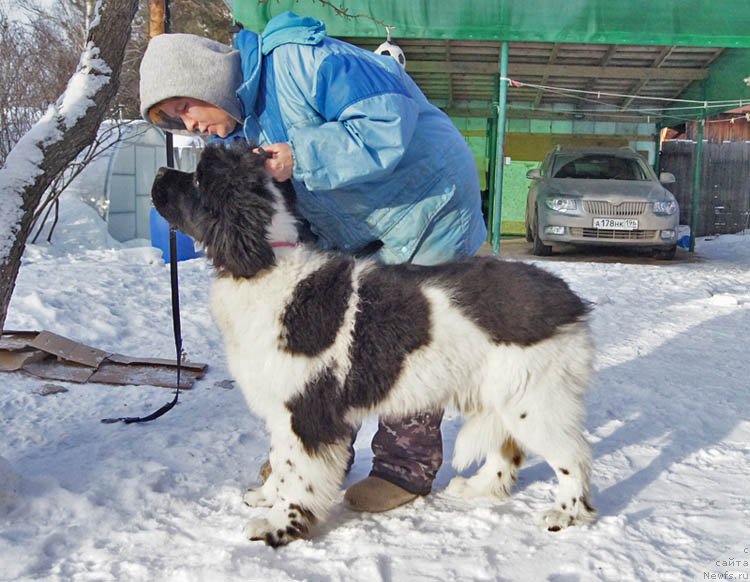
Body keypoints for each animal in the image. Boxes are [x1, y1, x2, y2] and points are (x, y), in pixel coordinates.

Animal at [153, 141, 600, 548]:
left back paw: (565, 514)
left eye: (198, 178)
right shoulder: (284, 406)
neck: (267, 266)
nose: (158, 172)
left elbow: (299, 475)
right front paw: (266, 496)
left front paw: (280, 526)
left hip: (535, 400)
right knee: (507, 448)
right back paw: (478, 488)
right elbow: (281, 460)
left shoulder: (309, 410)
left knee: (573, 456)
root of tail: (570, 299)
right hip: (500, 393)